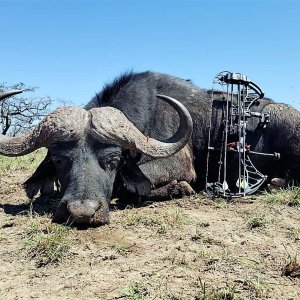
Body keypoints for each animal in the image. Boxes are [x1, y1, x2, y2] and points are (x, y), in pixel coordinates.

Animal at [0, 71, 300, 225]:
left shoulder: (180, 166)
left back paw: (275, 183)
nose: (82, 214)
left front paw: (180, 188)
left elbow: (129, 185)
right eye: (60, 160)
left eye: (113, 160)